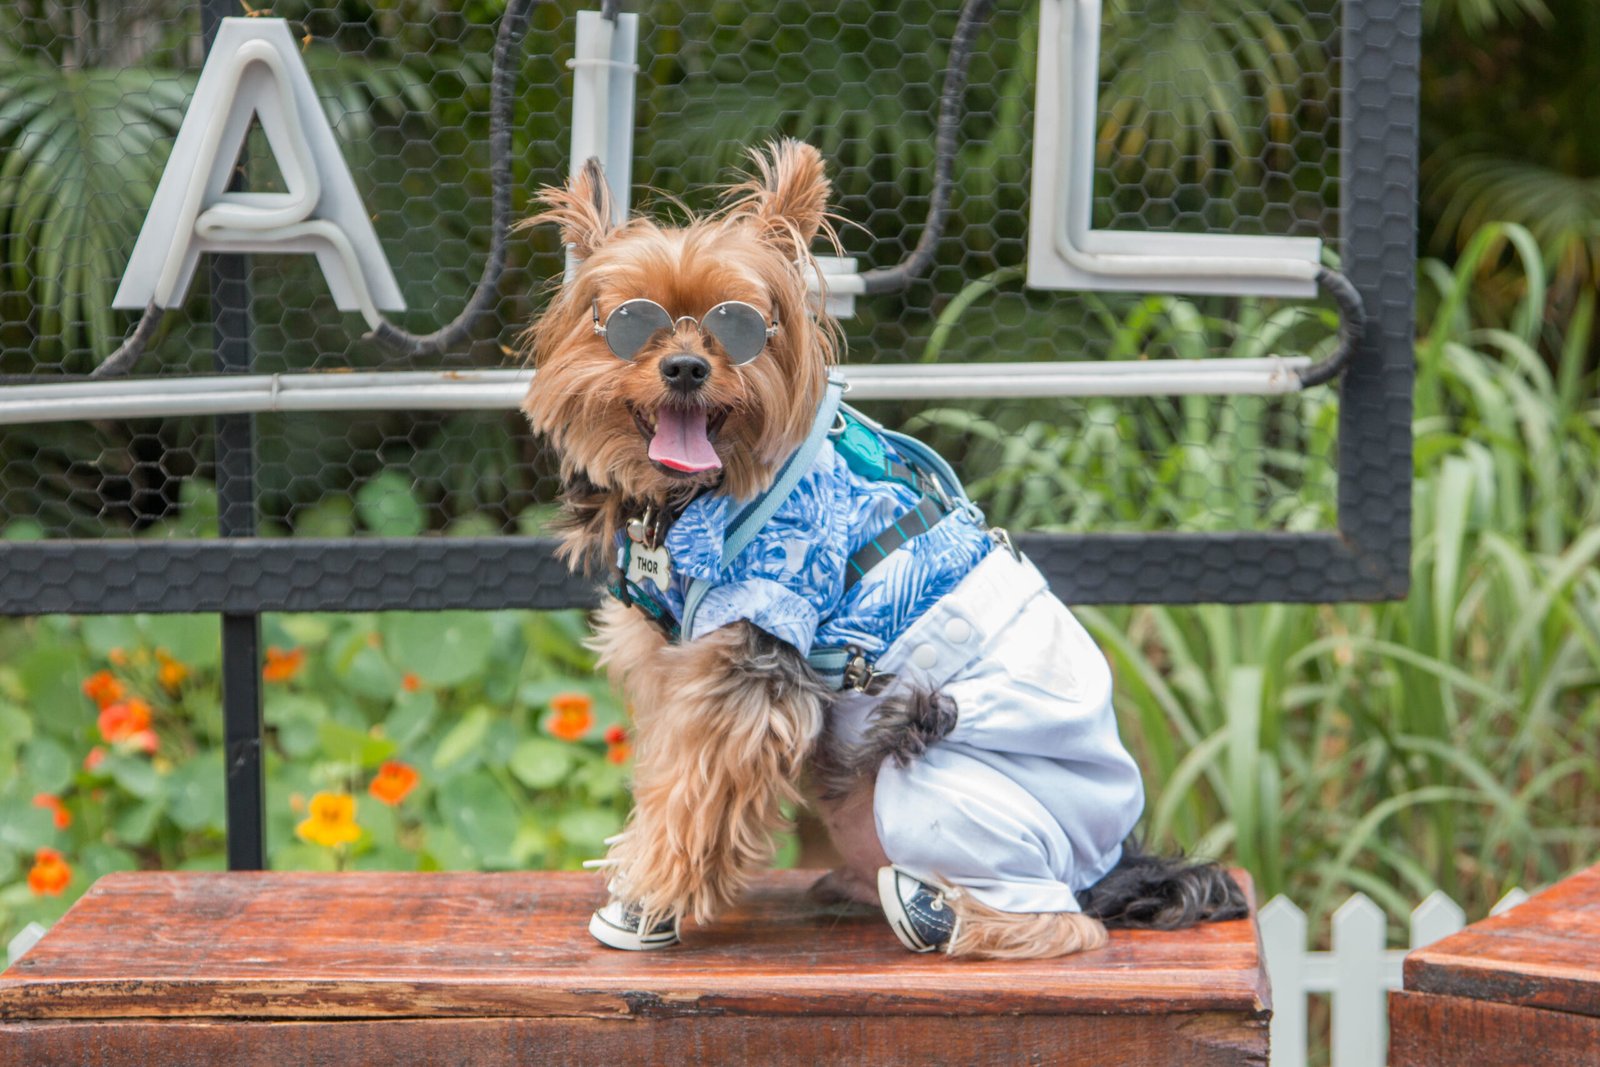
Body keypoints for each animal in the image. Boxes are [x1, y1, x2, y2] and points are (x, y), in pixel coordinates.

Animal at [518, 139, 1241, 959]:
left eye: (741, 326)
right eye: (631, 322)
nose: (686, 368)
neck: (691, 498)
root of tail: (1112, 859)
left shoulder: (760, 640)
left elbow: (697, 788)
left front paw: (651, 894)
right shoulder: (669, 655)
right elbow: (667, 768)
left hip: (943, 788)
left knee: (1066, 918)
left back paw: (948, 914)